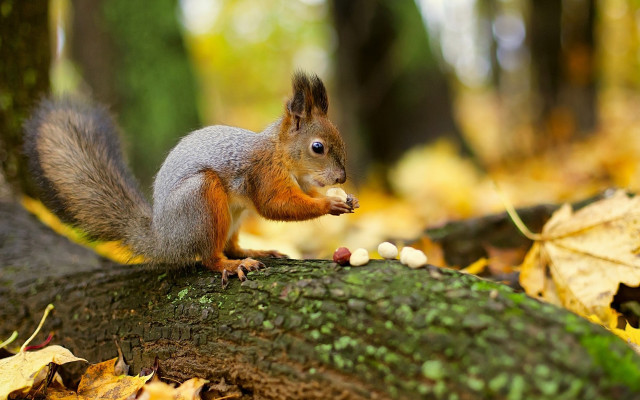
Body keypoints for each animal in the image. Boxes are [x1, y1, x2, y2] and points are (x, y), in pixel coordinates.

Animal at [23, 71, 358, 287]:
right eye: (318, 147)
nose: (342, 177)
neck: (282, 155)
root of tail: (163, 240)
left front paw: (346, 198)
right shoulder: (264, 173)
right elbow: (275, 205)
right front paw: (329, 204)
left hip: (232, 215)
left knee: (231, 245)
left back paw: (253, 252)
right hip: (201, 201)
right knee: (209, 256)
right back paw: (232, 264)